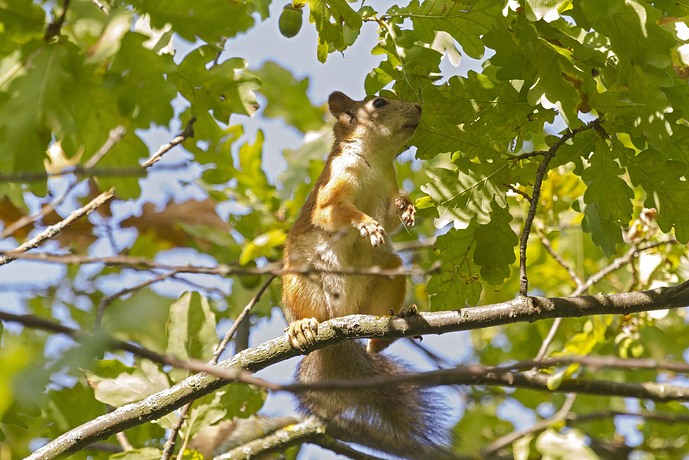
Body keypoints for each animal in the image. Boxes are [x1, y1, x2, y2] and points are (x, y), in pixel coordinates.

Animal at [281, 91, 448, 458]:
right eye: (379, 102)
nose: (420, 107)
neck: (374, 161)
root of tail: (339, 320)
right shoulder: (333, 186)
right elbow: (336, 212)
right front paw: (366, 224)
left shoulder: (389, 184)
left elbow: (393, 218)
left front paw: (407, 206)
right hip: (301, 282)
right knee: (305, 313)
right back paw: (302, 326)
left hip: (388, 274)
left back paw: (395, 322)